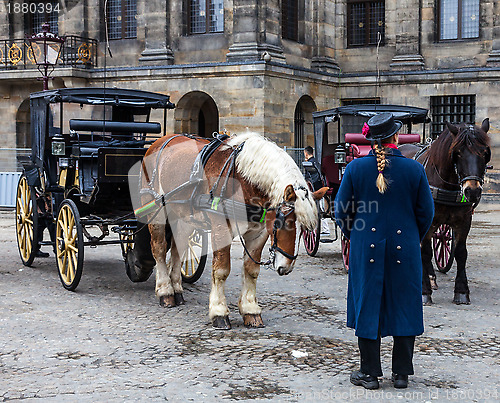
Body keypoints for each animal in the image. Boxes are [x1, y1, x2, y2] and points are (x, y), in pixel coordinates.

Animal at [400, 120, 490, 306]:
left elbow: (461, 253)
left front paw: (461, 291)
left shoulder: (464, 221)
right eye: (458, 153)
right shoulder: (428, 222)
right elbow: (425, 252)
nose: (472, 191)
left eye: (485, 153)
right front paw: (424, 291)